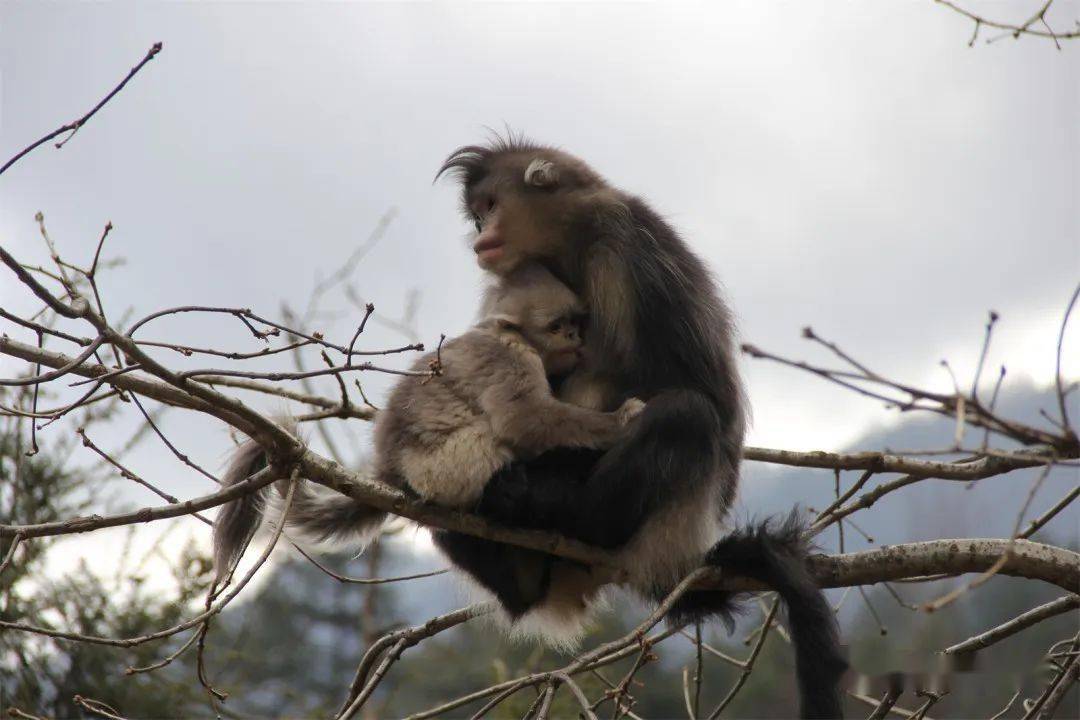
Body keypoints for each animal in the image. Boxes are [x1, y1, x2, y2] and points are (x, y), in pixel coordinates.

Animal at [434, 138, 846, 716]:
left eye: (490, 206)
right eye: (477, 214)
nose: (479, 234)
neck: (572, 245)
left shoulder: (627, 245)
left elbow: (701, 394)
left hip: (666, 516)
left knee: (685, 413)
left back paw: (554, 508)